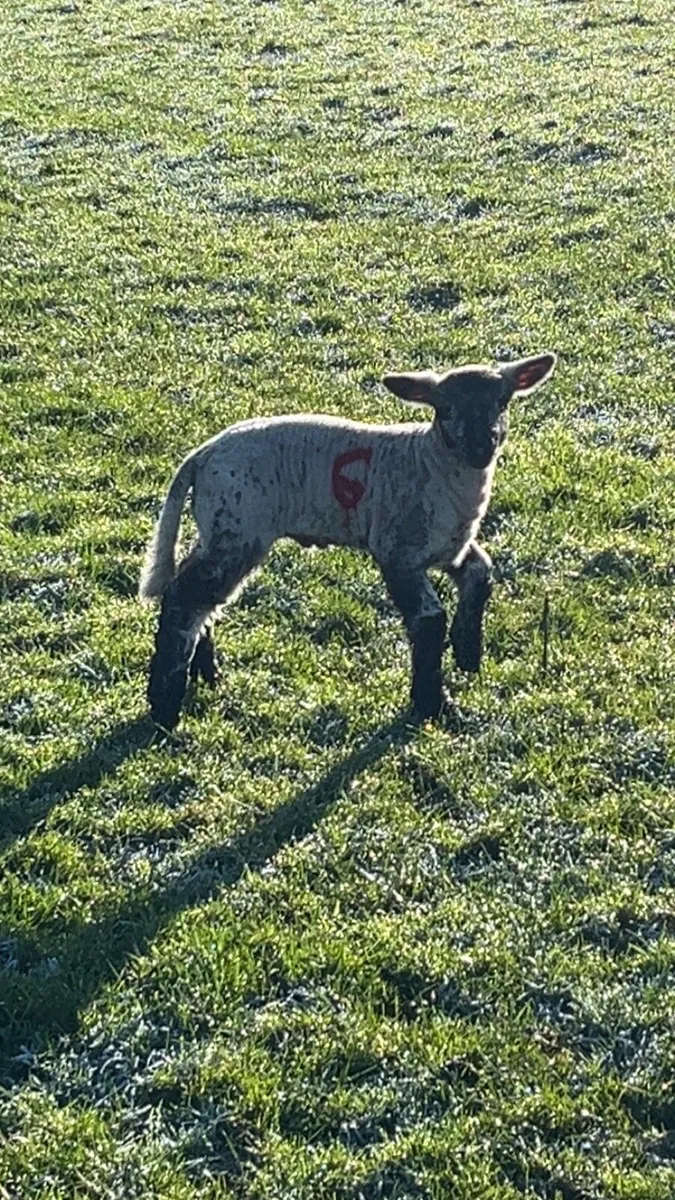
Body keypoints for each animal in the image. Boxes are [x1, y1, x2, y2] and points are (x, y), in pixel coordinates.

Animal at [139, 352, 556, 729]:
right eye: (446, 408)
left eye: (502, 402)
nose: (482, 447)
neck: (431, 461)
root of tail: (202, 455)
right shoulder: (398, 551)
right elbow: (429, 621)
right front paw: (432, 703)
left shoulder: (449, 547)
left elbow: (480, 573)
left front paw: (468, 651)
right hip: (238, 529)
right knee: (185, 599)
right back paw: (165, 705)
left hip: (218, 528)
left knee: (197, 595)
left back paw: (205, 673)